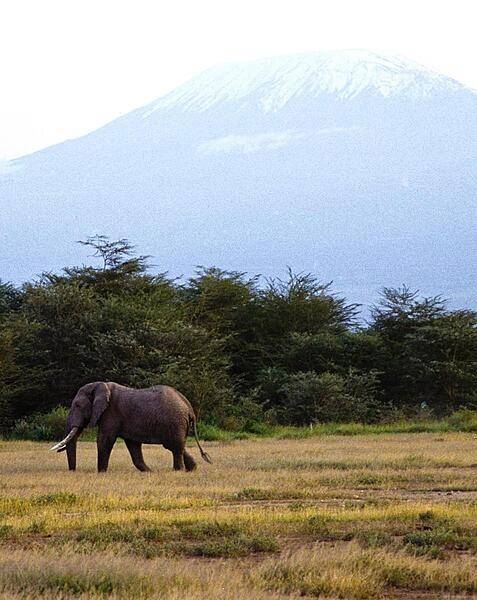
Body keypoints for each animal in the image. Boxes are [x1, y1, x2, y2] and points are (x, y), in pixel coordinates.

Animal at [49, 384, 210, 474]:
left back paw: (178, 471)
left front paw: (101, 473)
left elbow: (105, 440)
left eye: (77, 405)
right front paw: (149, 472)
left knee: (174, 447)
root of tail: (189, 407)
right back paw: (192, 469)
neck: (101, 386)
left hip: (174, 422)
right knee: (176, 446)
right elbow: (133, 445)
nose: (73, 471)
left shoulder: (110, 413)